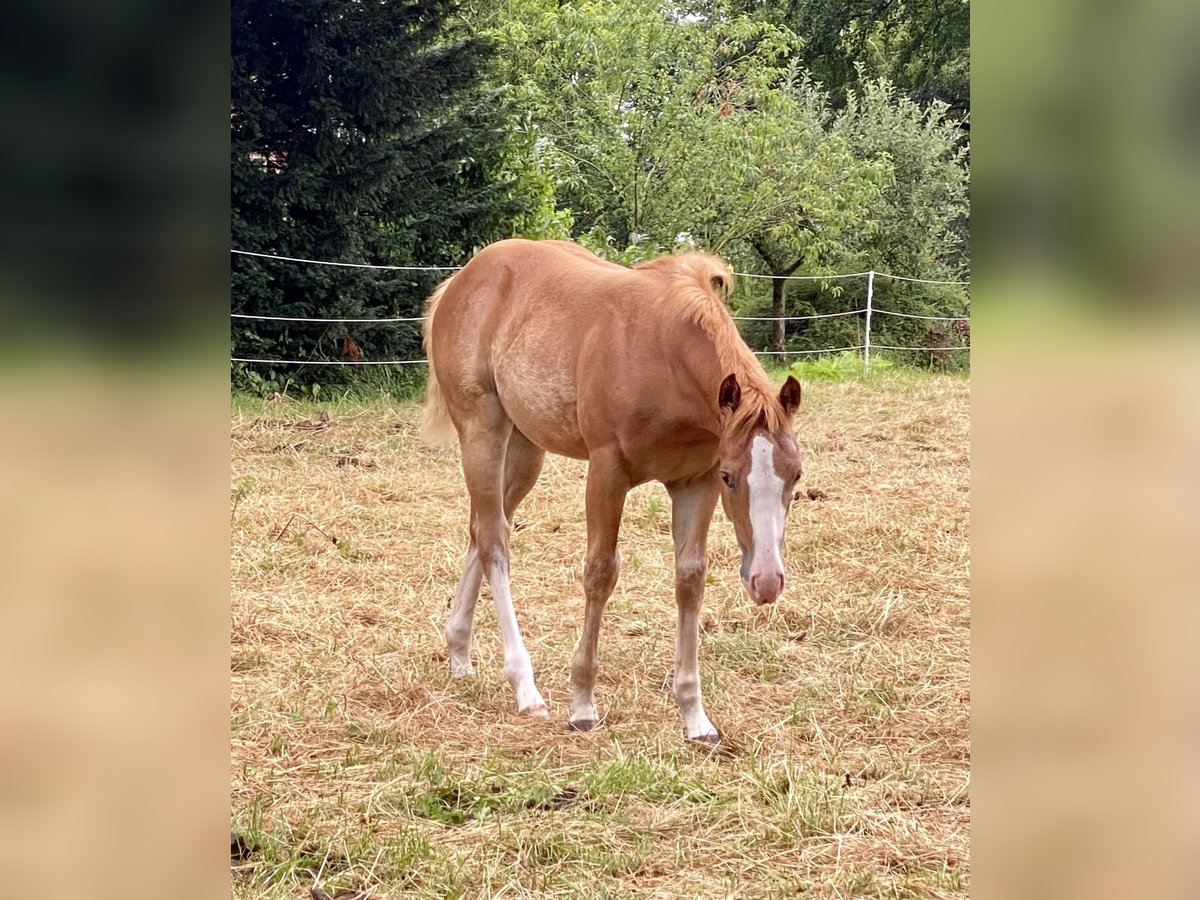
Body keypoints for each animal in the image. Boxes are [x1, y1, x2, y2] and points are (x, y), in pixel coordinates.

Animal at [422, 240, 806, 748]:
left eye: (796, 476)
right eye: (731, 477)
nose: (766, 582)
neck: (664, 356)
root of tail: (460, 280)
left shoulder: (693, 483)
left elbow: (690, 580)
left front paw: (695, 716)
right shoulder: (607, 473)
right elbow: (600, 574)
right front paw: (583, 705)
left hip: (526, 447)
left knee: (481, 528)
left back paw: (459, 654)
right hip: (481, 429)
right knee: (495, 540)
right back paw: (525, 688)